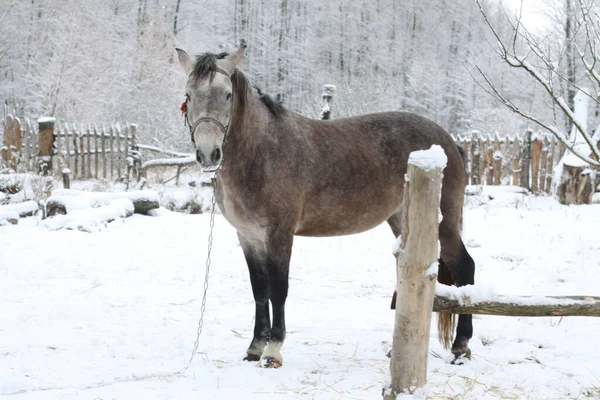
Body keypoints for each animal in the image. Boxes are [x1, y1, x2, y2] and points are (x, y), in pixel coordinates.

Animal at [176, 42, 476, 368]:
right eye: (188, 95)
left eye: (227, 95)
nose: (208, 154)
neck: (263, 152)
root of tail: (450, 141)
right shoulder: (248, 237)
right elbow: (259, 290)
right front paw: (254, 347)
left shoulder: (279, 235)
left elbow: (278, 290)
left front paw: (273, 351)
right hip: (403, 221)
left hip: (444, 225)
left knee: (465, 268)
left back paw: (460, 347)